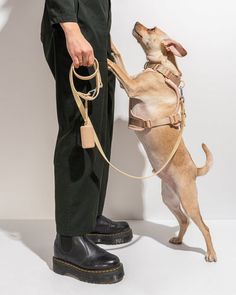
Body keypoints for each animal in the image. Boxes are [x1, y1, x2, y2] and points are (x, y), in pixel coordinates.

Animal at [108, 23, 217, 264]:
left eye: (151, 28)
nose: (136, 22)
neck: (159, 69)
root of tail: (195, 170)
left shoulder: (131, 85)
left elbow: (114, 65)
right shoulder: (129, 81)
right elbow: (118, 57)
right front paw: (110, 43)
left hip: (188, 201)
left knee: (204, 227)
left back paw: (211, 254)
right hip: (170, 199)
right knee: (184, 220)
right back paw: (178, 240)